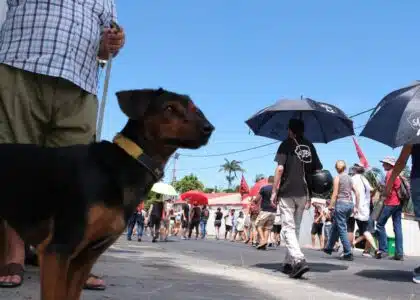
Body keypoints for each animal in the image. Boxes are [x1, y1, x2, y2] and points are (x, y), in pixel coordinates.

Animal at [0, 88, 213, 298]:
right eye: (169, 108)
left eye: (195, 109)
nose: (209, 128)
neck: (127, 163)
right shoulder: (58, 250)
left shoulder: (84, 258)